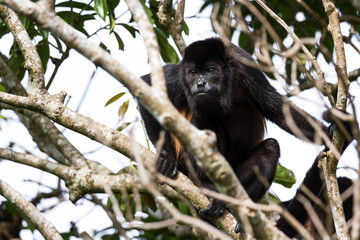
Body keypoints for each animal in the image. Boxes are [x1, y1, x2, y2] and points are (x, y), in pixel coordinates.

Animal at [139, 38, 330, 220]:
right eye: (193, 72)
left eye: (210, 70)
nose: (200, 83)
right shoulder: (179, 76)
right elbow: (146, 87)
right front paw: (166, 156)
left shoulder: (246, 67)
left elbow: (276, 107)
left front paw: (331, 133)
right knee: (206, 117)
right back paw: (208, 187)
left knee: (271, 148)